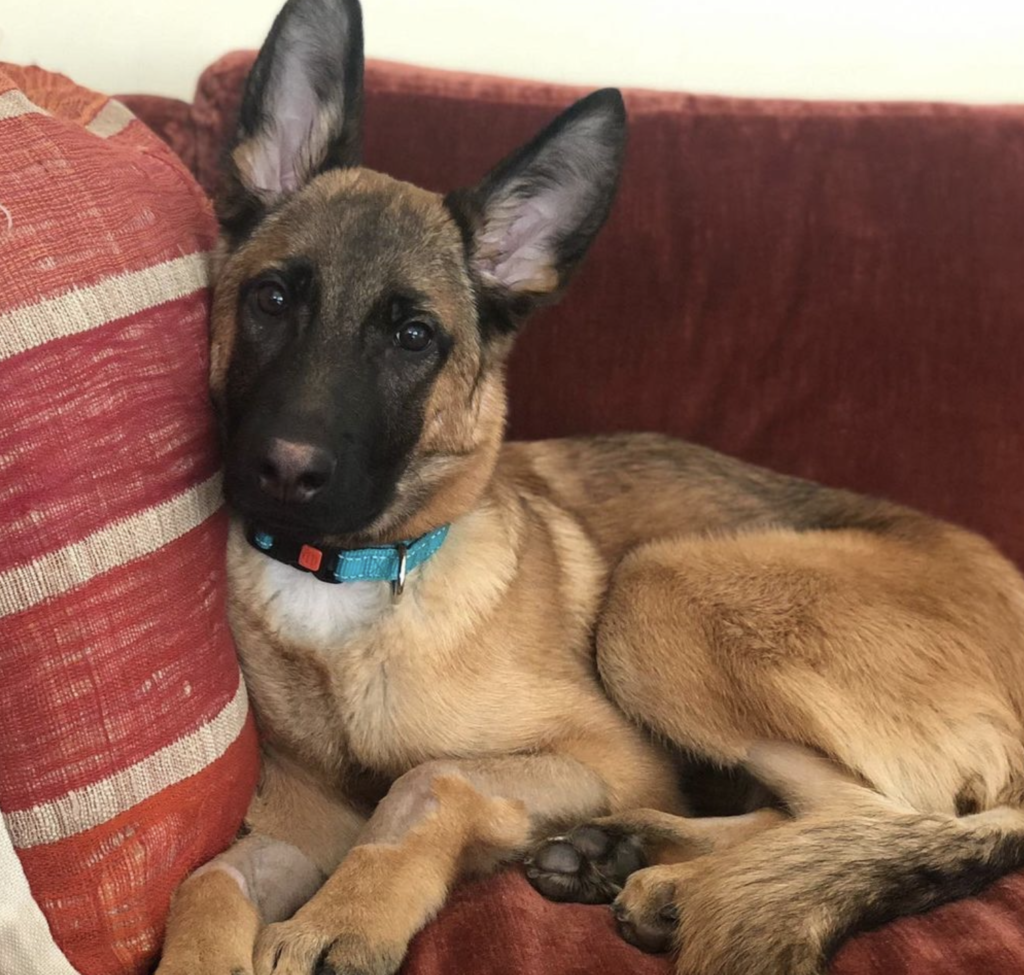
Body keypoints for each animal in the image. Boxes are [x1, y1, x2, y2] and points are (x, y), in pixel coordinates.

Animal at [153, 1, 1024, 975]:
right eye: (271, 299)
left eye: (414, 337)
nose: (284, 472)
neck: (356, 579)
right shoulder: (307, 815)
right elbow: (209, 880)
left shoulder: (611, 753)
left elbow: (430, 777)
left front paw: (348, 910)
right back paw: (627, 854)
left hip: (659, 591)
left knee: (874, 814)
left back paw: (673, 880)